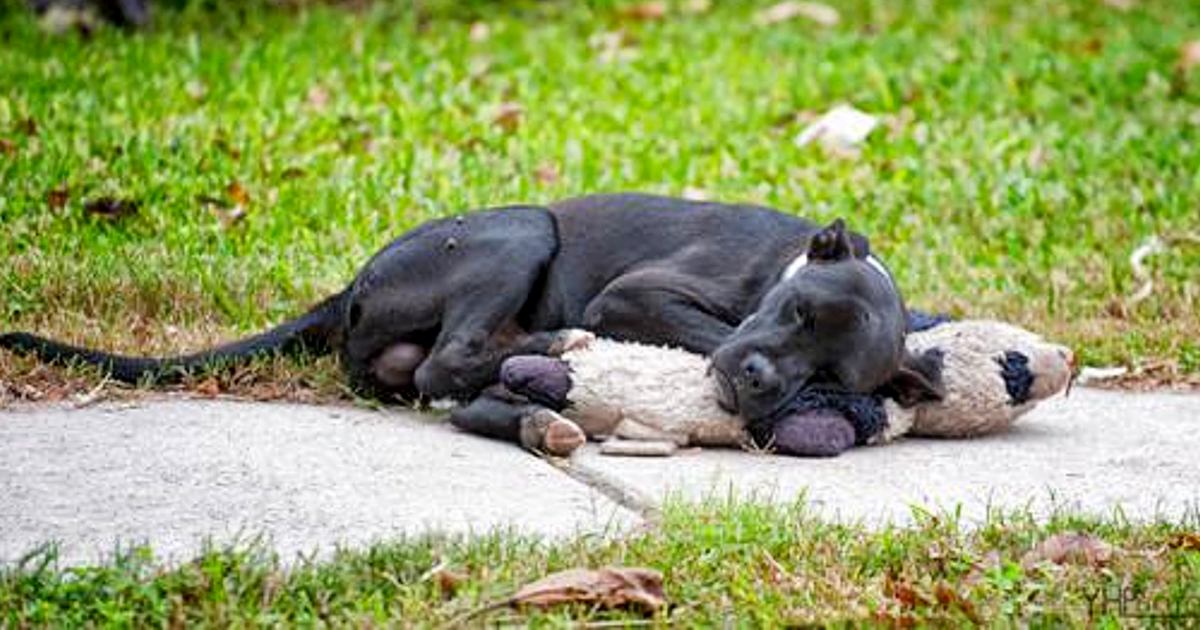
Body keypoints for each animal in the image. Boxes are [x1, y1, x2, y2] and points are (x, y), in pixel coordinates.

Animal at [0, 194, 940, 444]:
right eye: (794, 311)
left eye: (832, 371)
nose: (759, 381)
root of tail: (351, 287)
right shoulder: (636, 297)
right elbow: (704, 333)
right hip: (520, 230)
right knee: (444, 362)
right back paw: (554, 349)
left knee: (435, 374)